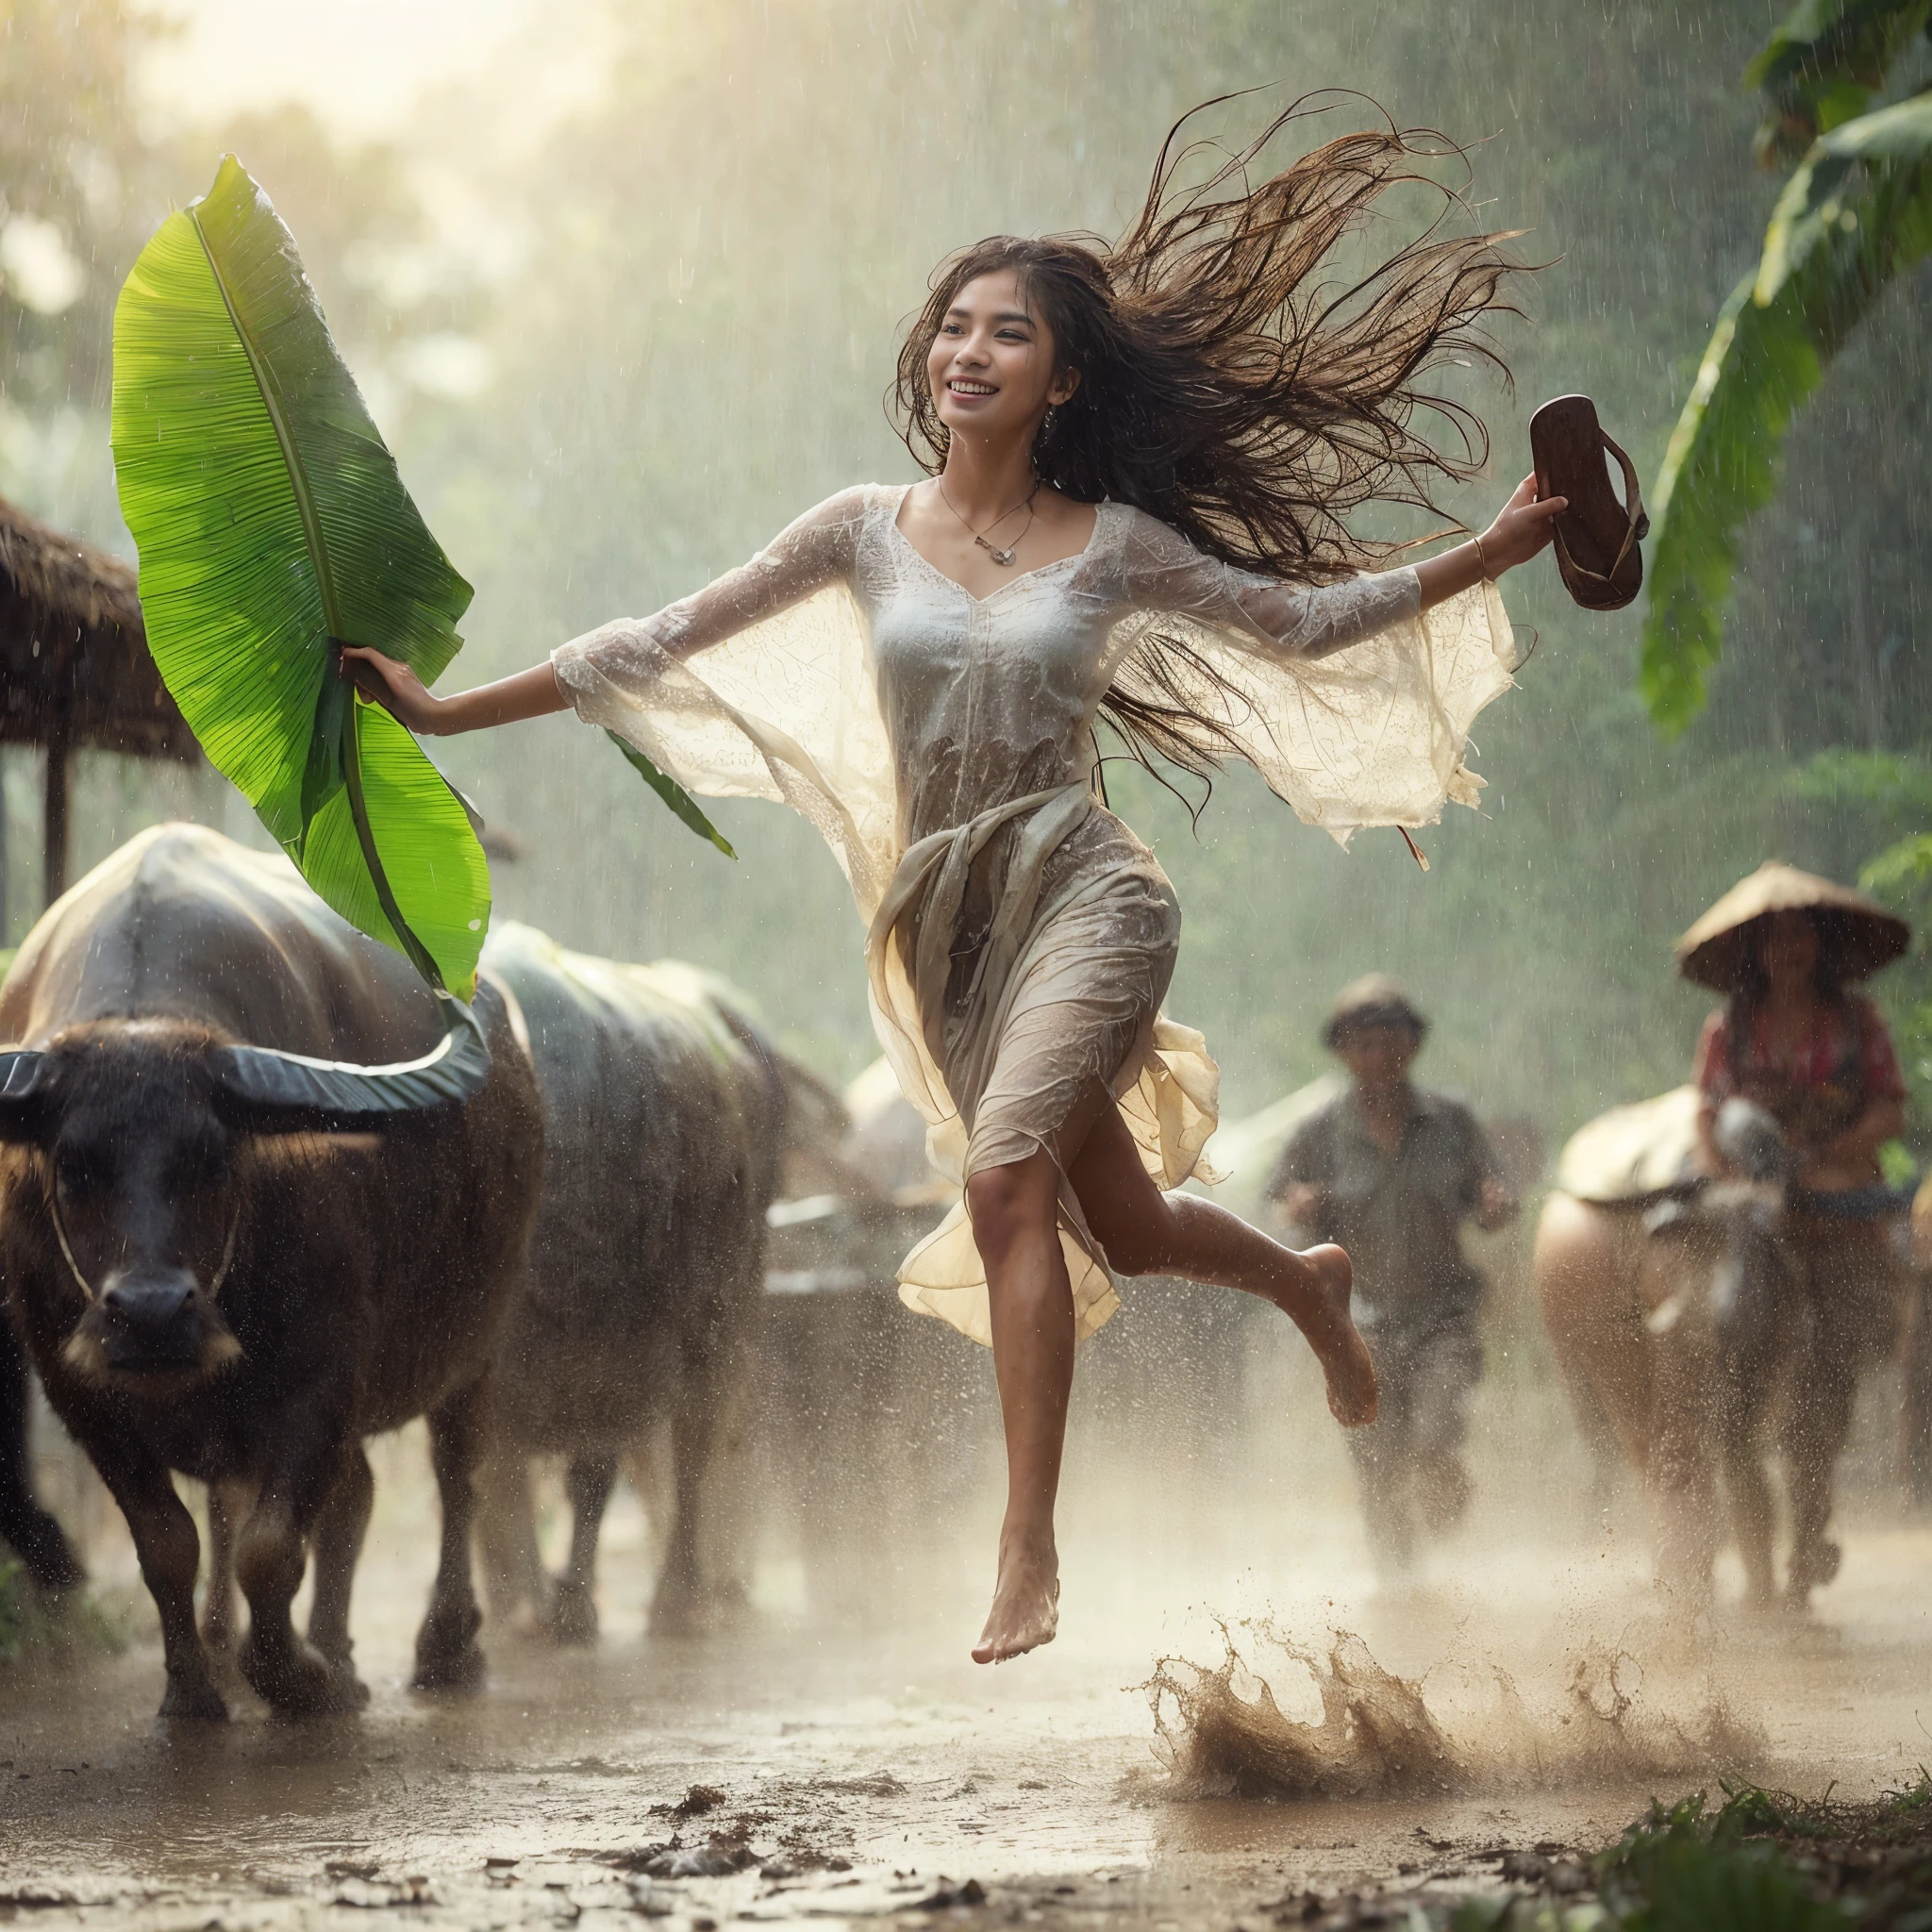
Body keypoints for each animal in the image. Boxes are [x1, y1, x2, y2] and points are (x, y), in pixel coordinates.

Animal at [0, 823, 541, 1715]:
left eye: (216, 1159)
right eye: (73, 1167)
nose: (151, 1314)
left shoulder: (323, 1377)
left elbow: (272, 1548)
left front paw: (296, 1680)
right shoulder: (79, 1391)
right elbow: (169, 1545)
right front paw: (195, 1692)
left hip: (479, 1338)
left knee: (457, 1472)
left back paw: (443, 1647)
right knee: (338, 1498)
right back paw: (295, 1649)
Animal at [475, 923, 799, 1645]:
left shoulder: (613, 1349)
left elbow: (590, 1476)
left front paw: (568, 1606)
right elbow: (496, 1482)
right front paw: (517, 1604)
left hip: (716, 1318)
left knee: (693, 1448)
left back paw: (678, 1597)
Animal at [1538, 1090, 1901, 1615]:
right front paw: (1784, 1592)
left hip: (1578, 1269)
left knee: (1662, 1441)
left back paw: (1695, 1593)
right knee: (1672, 1441)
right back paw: (1696, 1599)